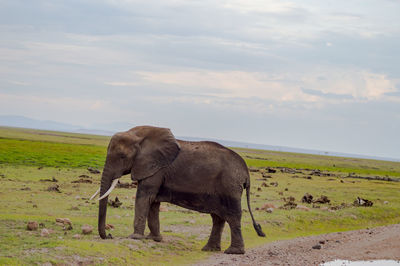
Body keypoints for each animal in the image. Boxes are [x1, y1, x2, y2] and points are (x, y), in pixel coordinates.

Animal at [90, 125, 266, 255]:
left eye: (121, 156)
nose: (109, 236)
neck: (139, 135)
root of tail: (246, 172)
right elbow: (152, 202)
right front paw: (153, 239)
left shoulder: (155, 169)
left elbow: (144, 197)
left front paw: (134, 237)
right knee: (218, 218)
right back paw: (209, 249)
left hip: (229, 187)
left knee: (232, 216)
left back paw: (233, 252)